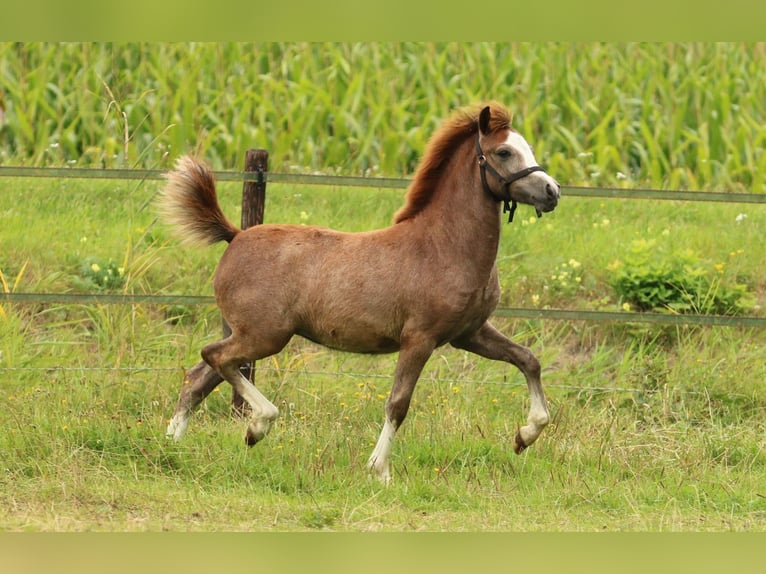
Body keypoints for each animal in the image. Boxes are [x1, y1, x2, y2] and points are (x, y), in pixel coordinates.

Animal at [158, 102, 560, 483]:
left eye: (527, 146)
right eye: (504, 152)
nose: (551, 191)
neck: (443, 247)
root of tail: (235, 235)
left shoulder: (470, 333)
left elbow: (528, 359)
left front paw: (525, 435)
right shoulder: (420, 338)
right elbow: (398, 403)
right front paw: (379, 470)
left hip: (251, 334)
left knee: (199, 377)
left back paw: (173, 445)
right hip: (265, 335)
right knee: (214, 357)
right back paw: (257, 426)